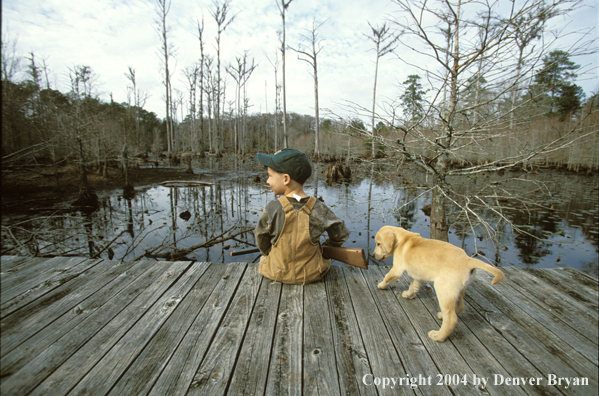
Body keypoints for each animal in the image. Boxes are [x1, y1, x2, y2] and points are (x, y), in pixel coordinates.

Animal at [376, 227, 506, 342]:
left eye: (378, 244)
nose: (373, 255)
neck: (404, 238)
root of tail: (468, 260)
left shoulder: (397, 269)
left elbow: (388, 277)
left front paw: (381, 285)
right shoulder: (418, 276)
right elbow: (414, 286)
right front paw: (408, 295)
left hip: (443, 290)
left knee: (452, 319)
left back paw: (438, 336)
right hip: (457, 290)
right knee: (460, 307)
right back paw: (442, 316)